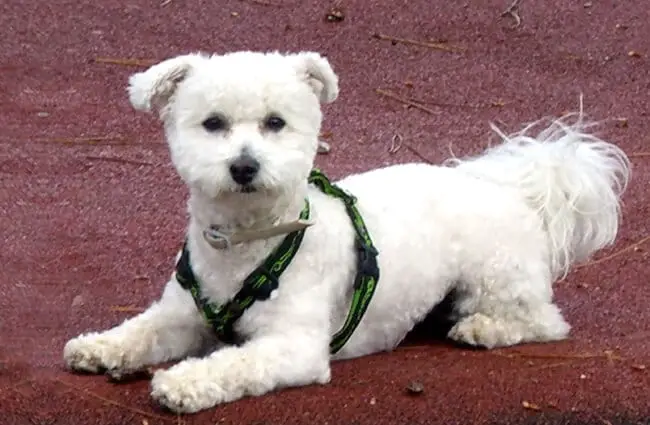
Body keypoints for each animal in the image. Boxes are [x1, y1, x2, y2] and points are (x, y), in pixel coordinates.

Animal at [63, 48, 632, 410]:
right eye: (213, 123)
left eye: (275, 123)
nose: (244, 166)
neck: (249, 245)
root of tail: (510, 188)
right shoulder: (180, 315)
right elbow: (140, 330)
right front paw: (101, 347)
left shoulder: (292, 348)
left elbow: (233, 364)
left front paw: (183, 382)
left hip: (495, 279)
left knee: (546, 321)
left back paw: (484, 329)